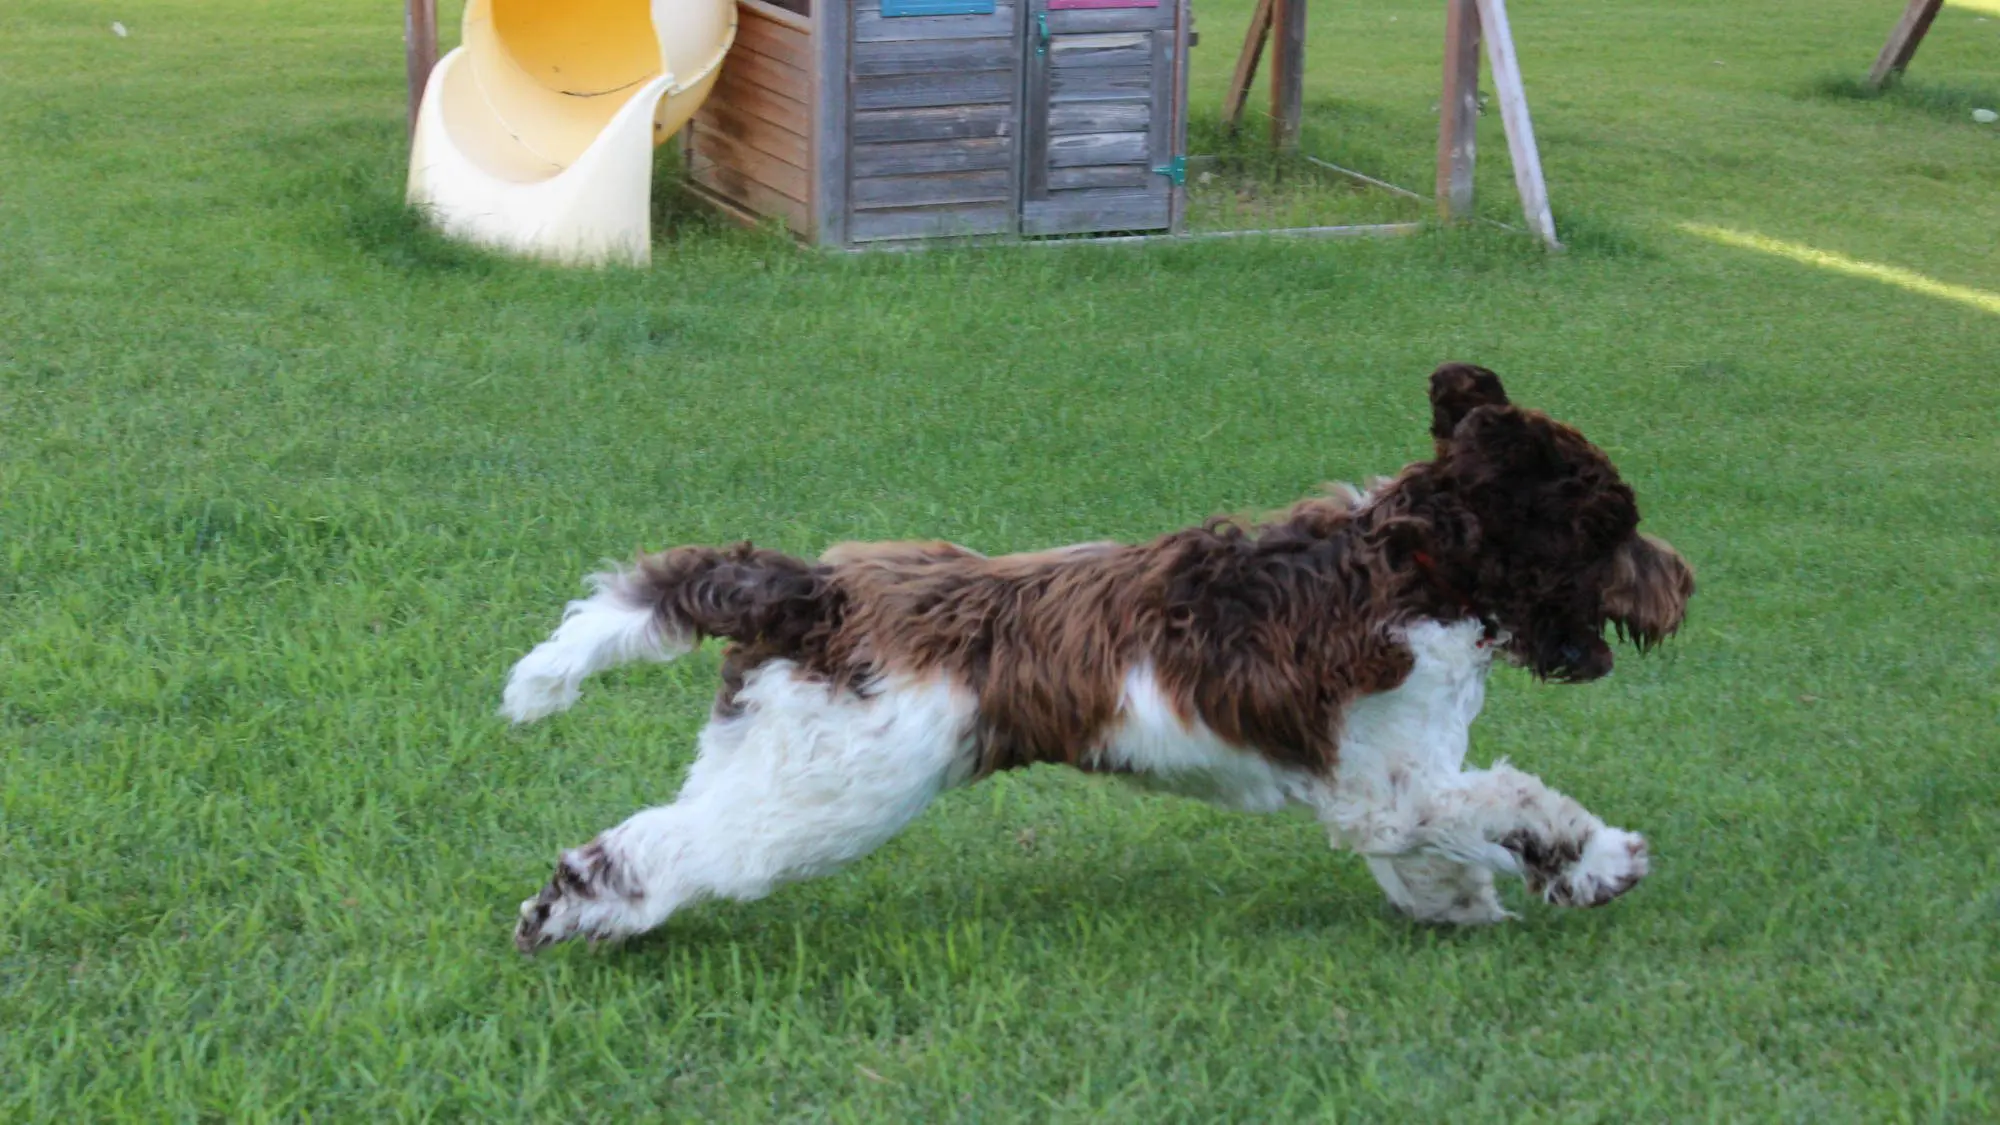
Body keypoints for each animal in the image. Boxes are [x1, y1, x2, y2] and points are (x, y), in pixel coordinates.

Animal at [496, 364, 1688, 948]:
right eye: (1612, 523)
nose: (1681, 583)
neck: (1414, 567)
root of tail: (816, 591)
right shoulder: (1387, 783)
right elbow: (1511, 803)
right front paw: (1600, 862)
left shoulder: (1385, 789)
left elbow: (1441, 844)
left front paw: (1465, 906)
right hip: (830, 790)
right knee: (675, 852)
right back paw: (562, 916)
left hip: (776, 759)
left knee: (653, 841)